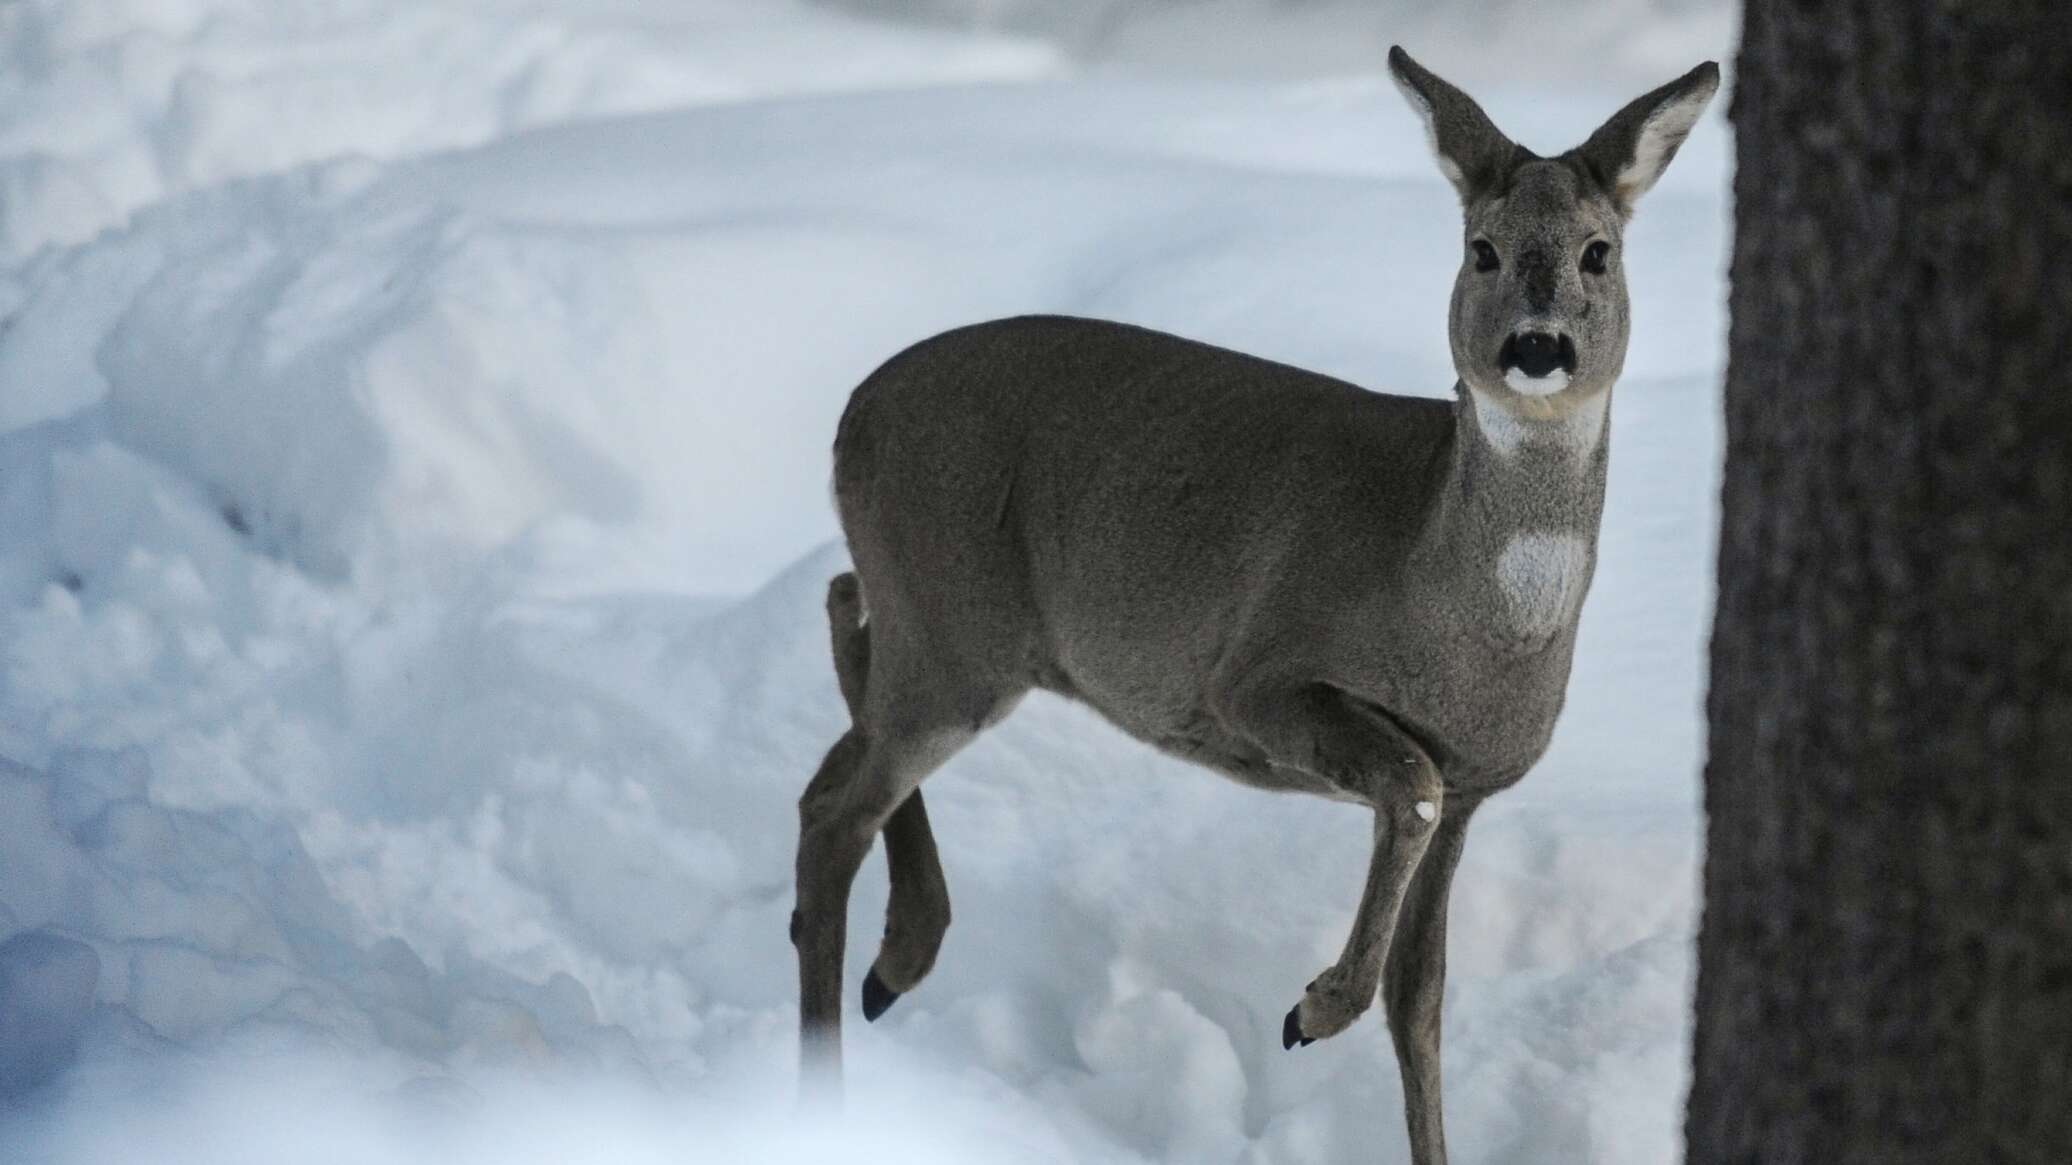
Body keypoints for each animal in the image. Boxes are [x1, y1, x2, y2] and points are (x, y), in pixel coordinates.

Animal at [791, 47, 1715, 1160]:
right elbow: (1405, 789)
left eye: (1597, 252)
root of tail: (850, 412)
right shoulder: (1258, 675)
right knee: (834, 809)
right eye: (1481, 249)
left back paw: (895, 960)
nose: (1536, 349)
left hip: (944, 628)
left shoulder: (1480, 779)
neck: (1453, 605)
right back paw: (832, 1071)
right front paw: (1307, 1008)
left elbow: (1421, 996)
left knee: (836, 684)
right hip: (954, 627)